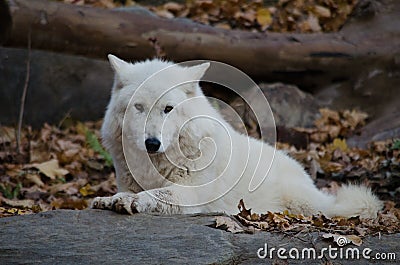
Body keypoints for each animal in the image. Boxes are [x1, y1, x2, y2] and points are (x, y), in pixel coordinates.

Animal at [92, 54, 382, 218]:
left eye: (168, 108)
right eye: (139, 107)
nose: (152, 143)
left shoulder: (191, 195)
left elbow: (156, 194)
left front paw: (130, 201)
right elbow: (127, 192)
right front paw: (109, 199)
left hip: (307, 204)